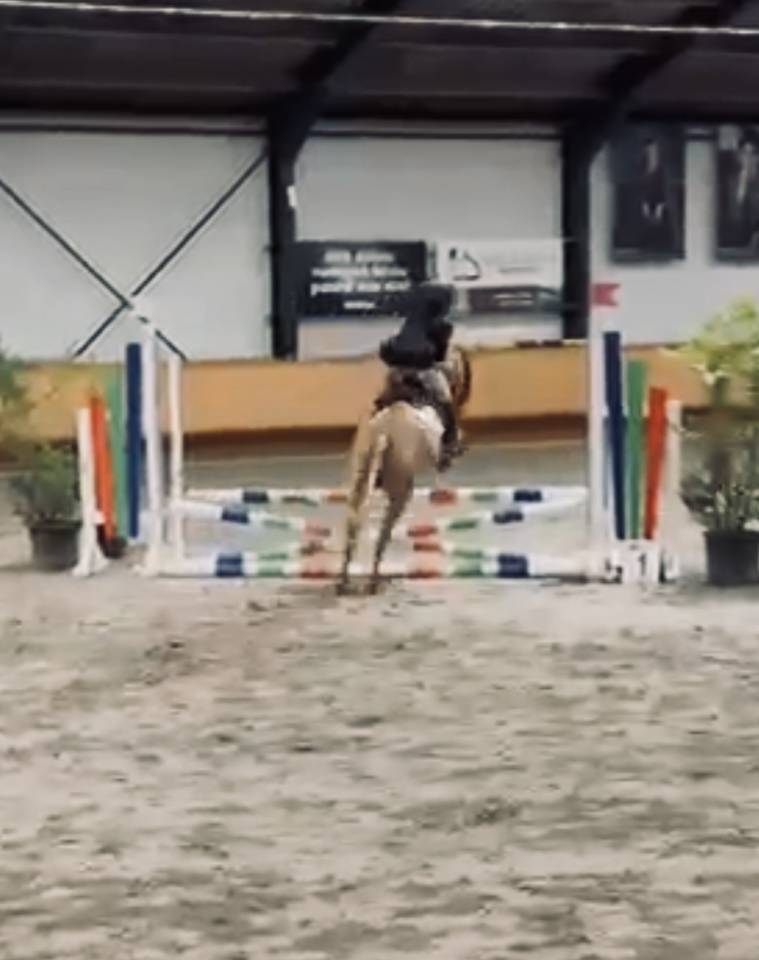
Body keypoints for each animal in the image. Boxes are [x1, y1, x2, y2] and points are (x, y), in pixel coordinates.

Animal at [337, 345, 472, 595]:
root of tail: (383, 430)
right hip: (402, 490)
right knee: (382, 536)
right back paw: (374, 582)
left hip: (360, 481)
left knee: (353, 525)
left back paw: (344, 582)